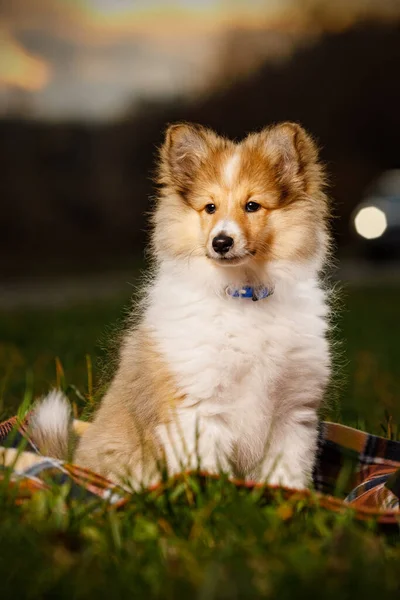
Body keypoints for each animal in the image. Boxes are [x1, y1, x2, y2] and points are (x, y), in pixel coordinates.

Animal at [30, 123, 332, 492]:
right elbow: (207, 471)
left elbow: (286, 474)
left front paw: (291, 498)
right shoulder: (198, 405)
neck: (243, 295)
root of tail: (74, 463)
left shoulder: (292, 411)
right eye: (210, 207)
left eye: (252, 205)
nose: (221, 242)